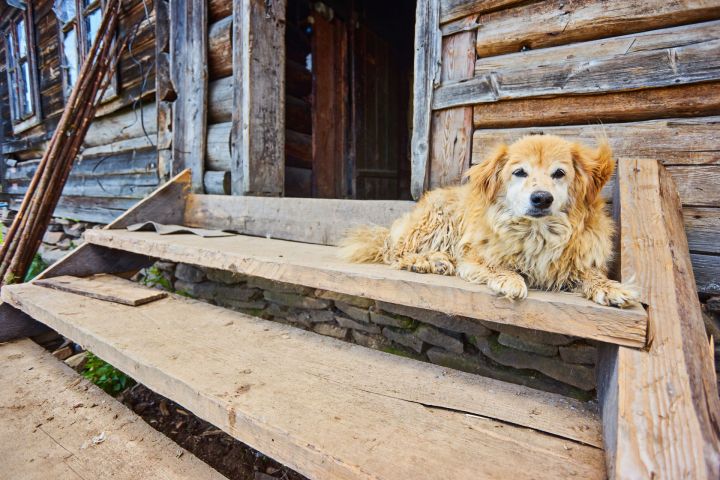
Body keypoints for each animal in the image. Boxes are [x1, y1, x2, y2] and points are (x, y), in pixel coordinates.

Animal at [340, 135, 640, 308]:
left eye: (559, 173)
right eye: (519, 172)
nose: (541, 198)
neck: (536, 232)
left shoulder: (581, 260)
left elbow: (591, 273)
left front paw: (611, 288)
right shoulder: (474, 255)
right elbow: (497, 265)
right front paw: (511, 279)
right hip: (438, 219)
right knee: (396, 253)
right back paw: (425, 261)